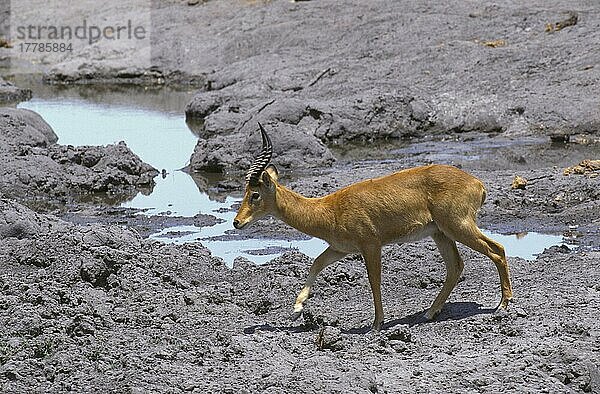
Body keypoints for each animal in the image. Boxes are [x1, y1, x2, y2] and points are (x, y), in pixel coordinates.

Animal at [232, 122, 512, 330]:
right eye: (245, 192)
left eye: (254, 194)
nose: (237, 222)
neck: (329, 209)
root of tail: (477, 183)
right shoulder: (340, 248)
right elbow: (316, 264)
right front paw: (296, 310)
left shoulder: (371, 244)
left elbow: (374, 280)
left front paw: (377, 324)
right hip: (440, 233)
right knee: (455, 266)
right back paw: (430, 313)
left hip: (458, 226)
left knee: (496, 249)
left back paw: (503, 304)